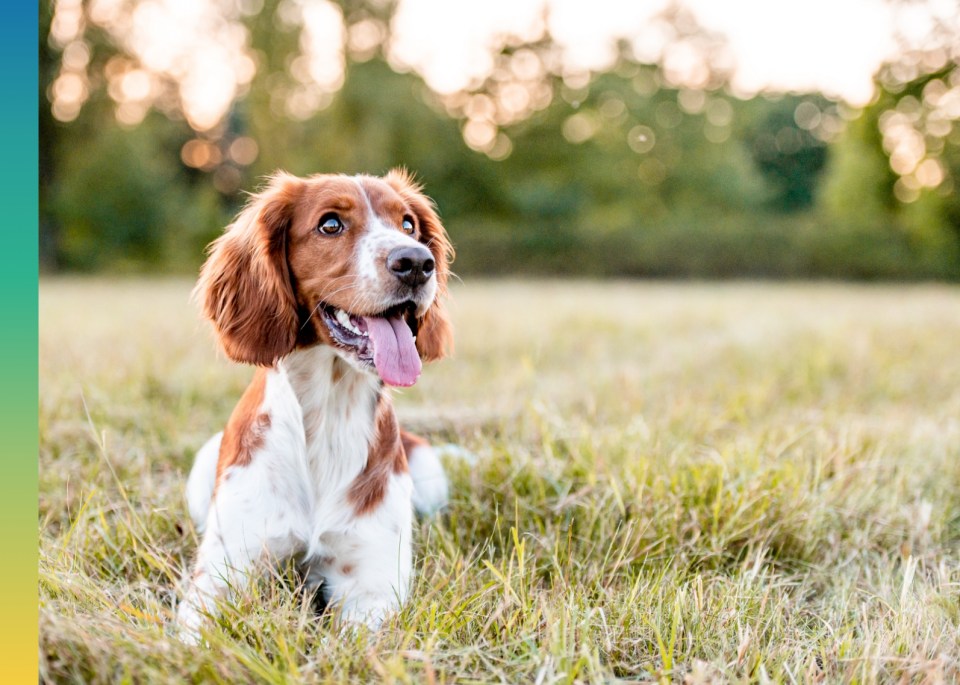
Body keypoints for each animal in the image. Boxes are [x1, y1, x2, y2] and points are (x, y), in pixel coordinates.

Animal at [175, 168, 454, 640]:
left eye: (408, 224)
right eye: (330, 224)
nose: (416, 262)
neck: (329, 412)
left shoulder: (373, 584)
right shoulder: (221, 573)